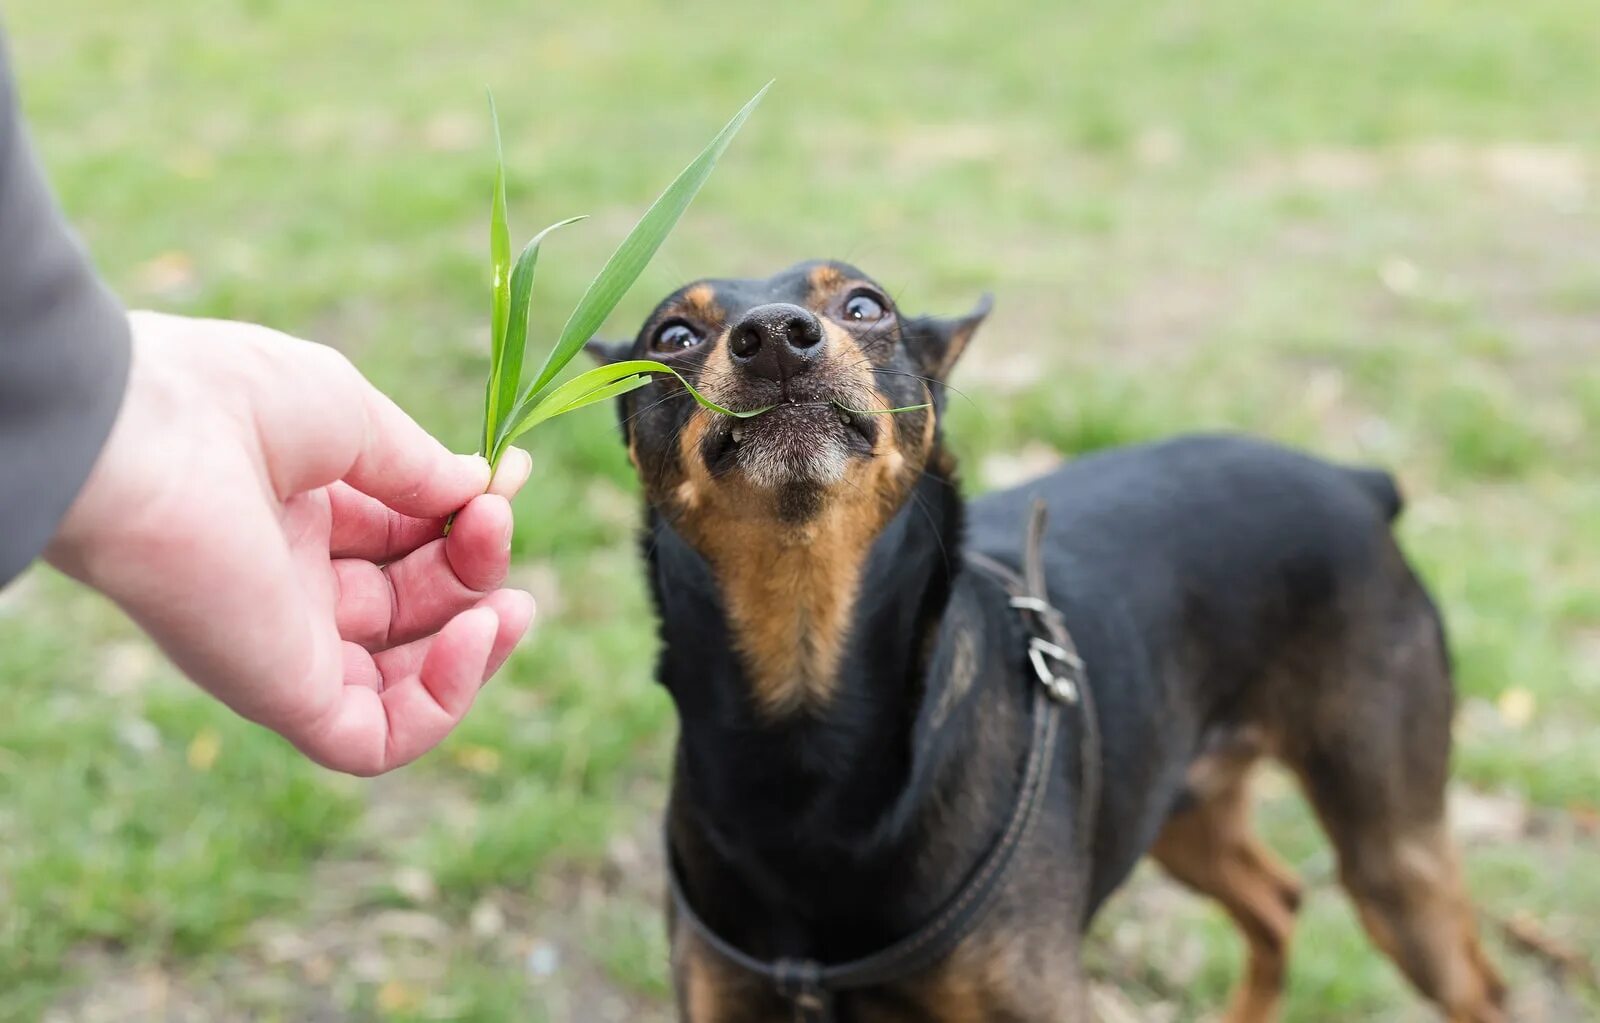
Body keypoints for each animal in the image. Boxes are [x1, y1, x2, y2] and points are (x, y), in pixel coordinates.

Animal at [588, 259, 1510, 1018]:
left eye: (865, 304)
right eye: (672, 335)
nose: (776, 334)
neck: (805, 724)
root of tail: (1358, 484)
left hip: (1393, 856)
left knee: (1475, 983)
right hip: (1182, 805)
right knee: (1278, 901)